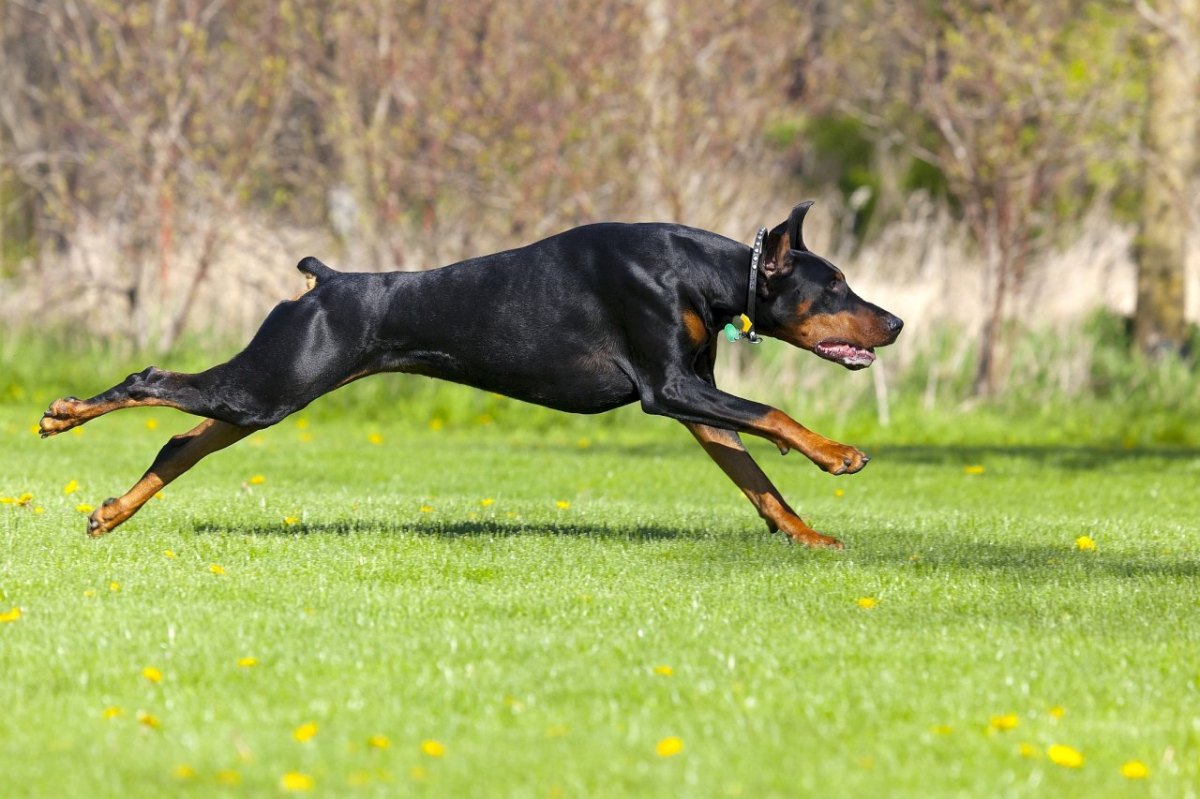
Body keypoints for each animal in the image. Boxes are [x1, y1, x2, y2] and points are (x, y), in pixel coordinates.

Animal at [39, 202, 902, 544]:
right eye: (835, 287)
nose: (895, 322)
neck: (705, 272)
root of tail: (326, 282)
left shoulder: (694, 396)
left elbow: (756, 477)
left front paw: (808, 534)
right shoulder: (670, 390)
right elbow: (775, 415)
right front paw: (840, 454)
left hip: (267, 393)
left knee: (180, 443)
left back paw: (109, 512)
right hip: (271, 382)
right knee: (149, 378)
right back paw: (62, 413)